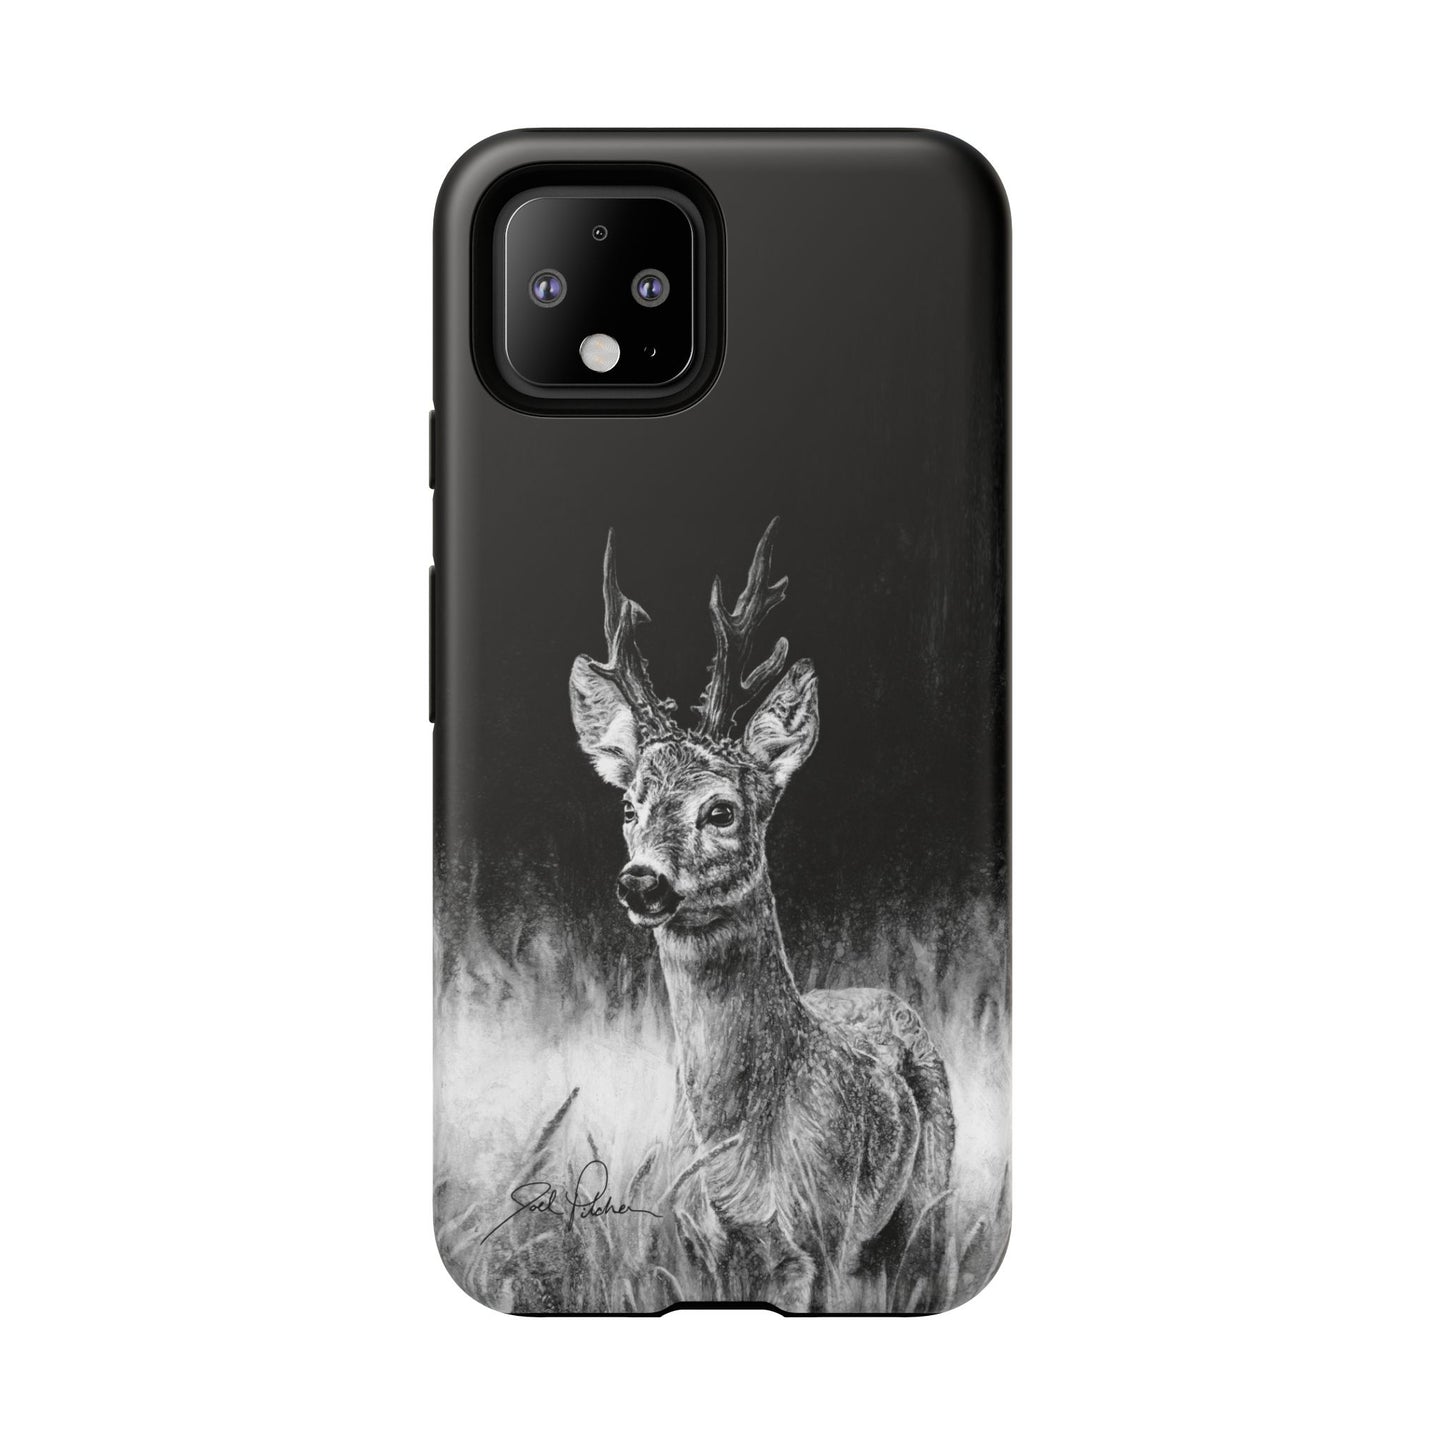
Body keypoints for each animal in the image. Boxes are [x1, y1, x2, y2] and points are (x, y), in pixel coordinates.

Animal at [569, 519, 955, 1312]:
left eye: (720, 809)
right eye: (628, 807)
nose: (640, 881)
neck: (737, 1167)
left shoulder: (820, 1241)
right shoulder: (691, 1243)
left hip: (924, 1199)